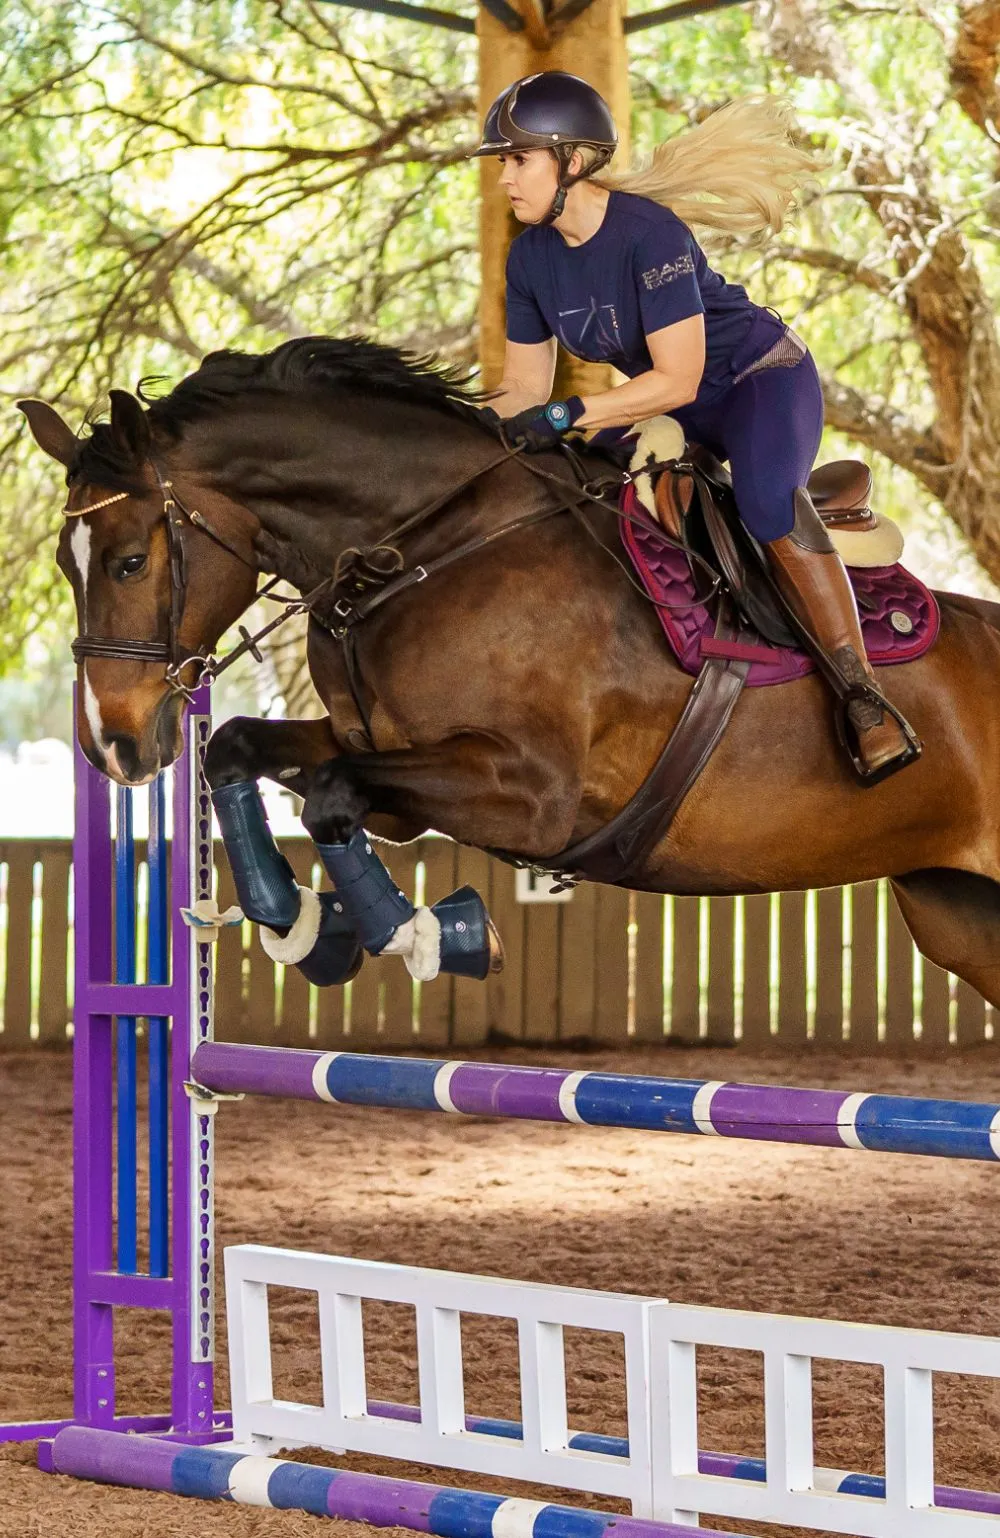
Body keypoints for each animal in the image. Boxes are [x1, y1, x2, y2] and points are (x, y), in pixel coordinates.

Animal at [15, 336, 1000, 1002]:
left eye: (130, 562)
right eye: (66, 563)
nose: (111, 745)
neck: (426, 548)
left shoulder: (531, 794)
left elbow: (331, 795)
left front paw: (428, 934)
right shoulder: (388, 770)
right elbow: (241, 750)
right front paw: (302, 926)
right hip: (958, 913)